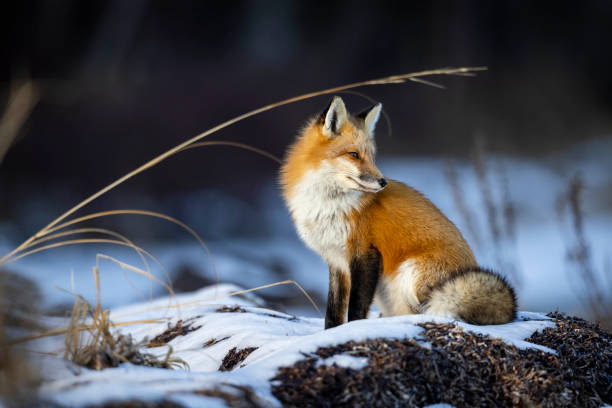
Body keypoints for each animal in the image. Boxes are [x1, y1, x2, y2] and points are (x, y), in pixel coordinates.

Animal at [282, 95, 516, 328]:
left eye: (372, 157)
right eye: (354, 154)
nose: (382, 182)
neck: (329, 205)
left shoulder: (365, 253)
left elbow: (357, 307)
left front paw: (355, 328)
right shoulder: (336, 261)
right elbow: (333, 311)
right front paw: (331, 331)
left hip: (409, 273)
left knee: (427, 309)